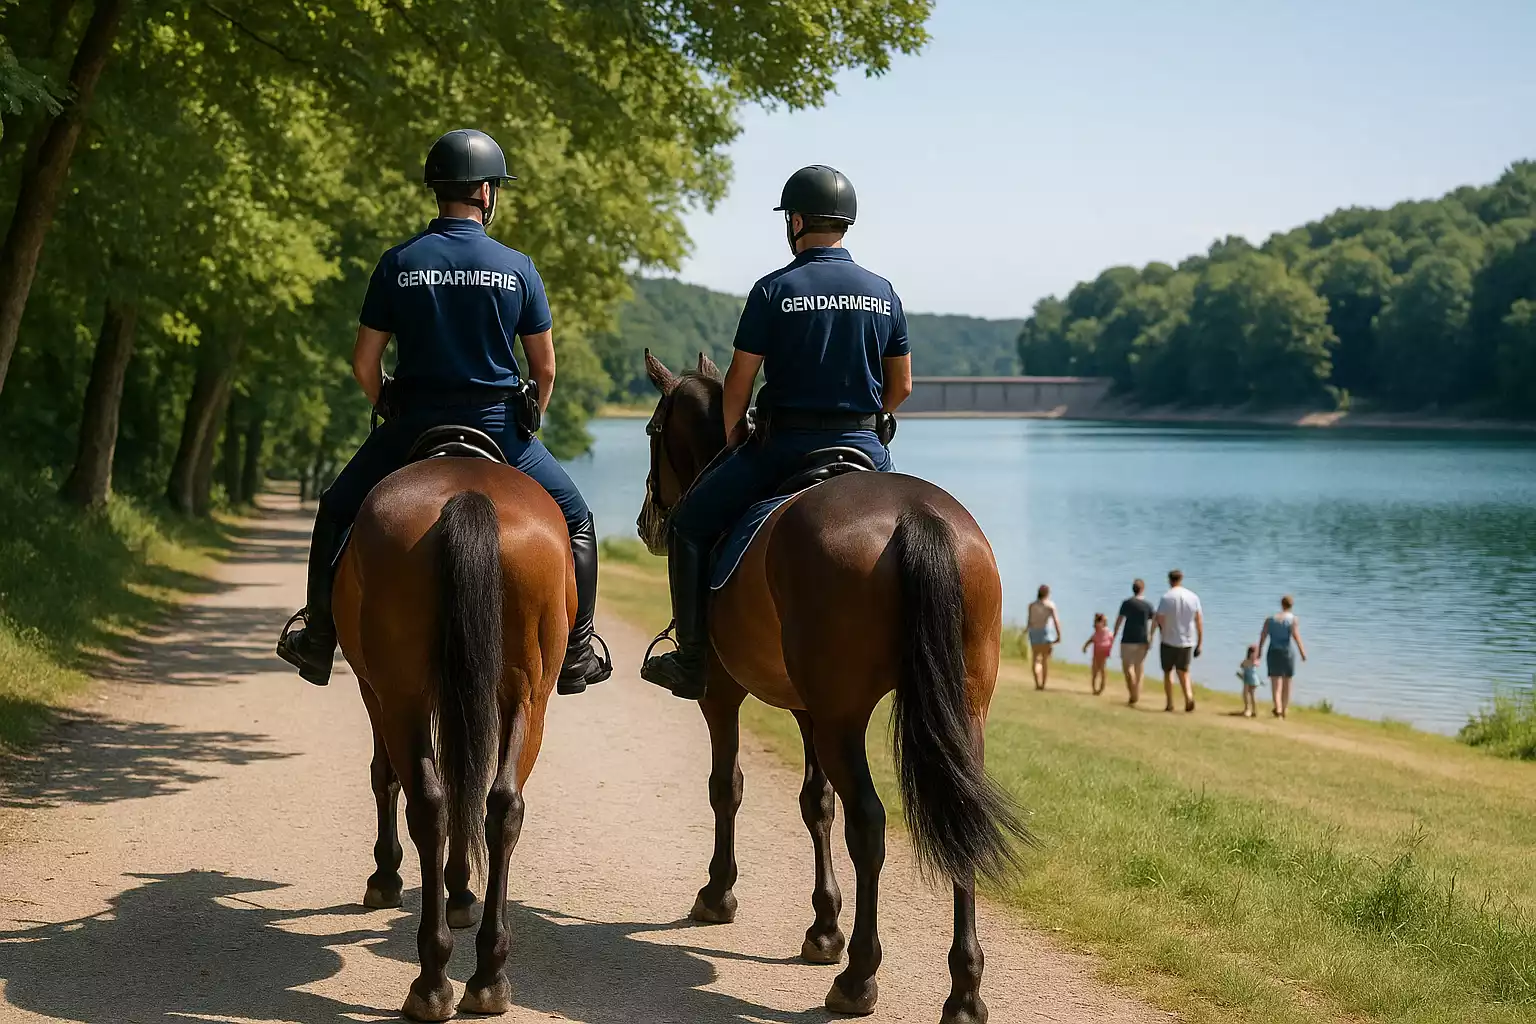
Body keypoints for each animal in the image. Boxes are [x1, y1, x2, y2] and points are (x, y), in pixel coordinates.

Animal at [332, 455, 572, 1021]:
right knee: (500, 806)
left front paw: (389, 878)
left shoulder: (374, 690)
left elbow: (385, 777)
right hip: (528, 695)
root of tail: (468, 493)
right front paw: (461, 891)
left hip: (401, 695)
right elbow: (468, 784)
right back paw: (487, 976)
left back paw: (432, 979)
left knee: (427, 802)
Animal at [637, 351, 1031, 1023]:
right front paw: (824, 928)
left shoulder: (725, 696)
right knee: (959, 820)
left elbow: (726, 787)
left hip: (845, 719)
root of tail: (917, 517)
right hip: (958, 713)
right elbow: (814, 803)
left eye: (651, 430)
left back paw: (859, 979)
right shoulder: (808, 710)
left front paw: (719, 893)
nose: (645, 523)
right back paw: (964, 991)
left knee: (867, 824)